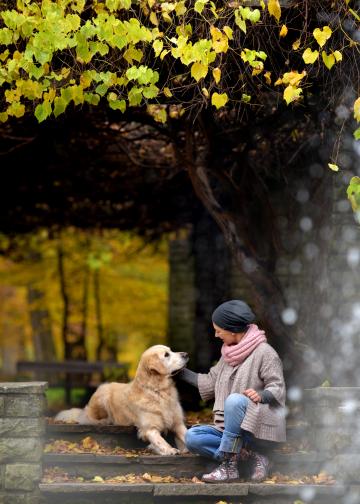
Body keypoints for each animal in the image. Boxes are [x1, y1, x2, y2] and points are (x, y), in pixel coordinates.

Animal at [54, 344, 190, 454]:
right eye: (166, 355)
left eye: (171, 350)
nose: (186, 354)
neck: (159, 391)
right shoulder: (148, 428)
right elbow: (159, 440)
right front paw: (169, 449)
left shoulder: (178, 423)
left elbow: (187, 434)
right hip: (103, 394)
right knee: (90, 419)